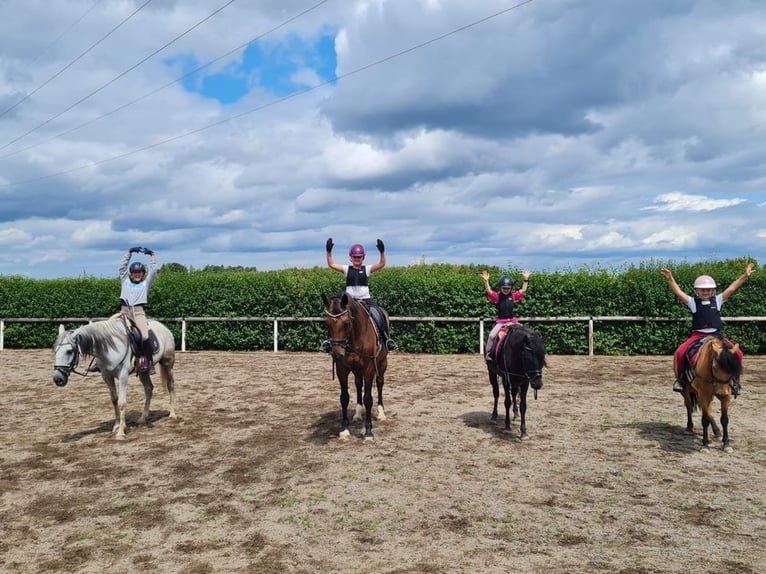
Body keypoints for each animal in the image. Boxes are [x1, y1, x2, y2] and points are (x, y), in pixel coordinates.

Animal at [320, 294, 390, 438]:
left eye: (347, 322)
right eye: (326, 323)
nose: (337, 354)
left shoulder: (369, 369)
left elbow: (368, 398)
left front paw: (368, 432)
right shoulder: (342, 369)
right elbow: (344, 398)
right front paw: (345, 430)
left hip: (382, 363)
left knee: (380, 383)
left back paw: (381, 413)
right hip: (357, 369)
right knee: (358, 384)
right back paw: (358, 414)